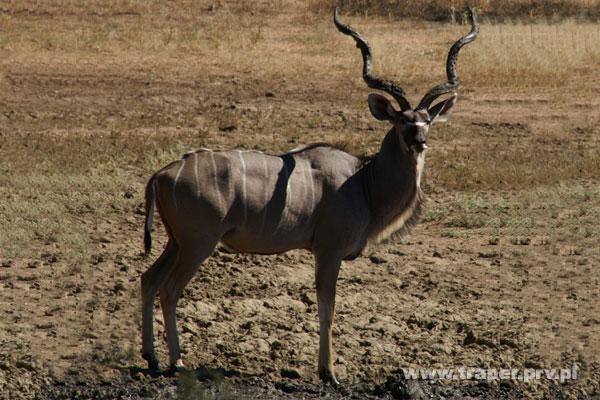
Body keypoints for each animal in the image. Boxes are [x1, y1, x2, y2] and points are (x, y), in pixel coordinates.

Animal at [141, 7, 478, 384]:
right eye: (401, 121)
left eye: (426, 121)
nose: (419, 142)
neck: (363, 181)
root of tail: (162, 173)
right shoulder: (328, 251)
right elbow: (327, 308)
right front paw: (328, 372)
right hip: (198, 244)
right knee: (169, 290)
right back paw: (176, 361)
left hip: (177, 243)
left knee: (148, 280)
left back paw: (151, 358)